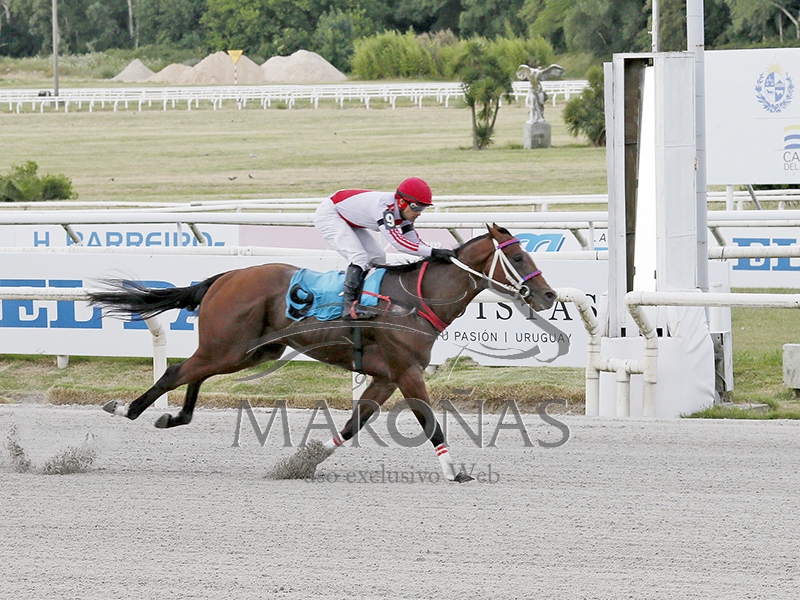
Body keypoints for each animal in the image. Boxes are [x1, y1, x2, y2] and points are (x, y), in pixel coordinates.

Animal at [88, 224, 557, 482]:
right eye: (518, 256)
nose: (549, 295)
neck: (416, 298)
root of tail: (224, 276)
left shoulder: (385, 376)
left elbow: (353, 424)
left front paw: (302, 462)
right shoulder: (407, 372)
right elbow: (430, 423)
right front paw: (454, 472)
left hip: (248, 352)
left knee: (193, 372)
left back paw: (173, 416)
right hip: (230, 347)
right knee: (176, 373)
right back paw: (126, 409)